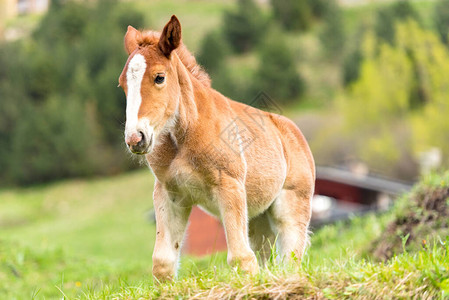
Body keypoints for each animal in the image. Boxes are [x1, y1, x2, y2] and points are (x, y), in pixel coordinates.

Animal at [119, 15, 316, 280]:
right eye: (122, 84)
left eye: (159, 77)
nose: (135, 138)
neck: (185, 136)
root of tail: (294, 132)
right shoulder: (170, 194)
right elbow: (163, 264)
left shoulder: (229, 187)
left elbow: (241, 259)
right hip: (258, 218)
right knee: (265, 256)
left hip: (291, 210)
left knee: (289, 260)